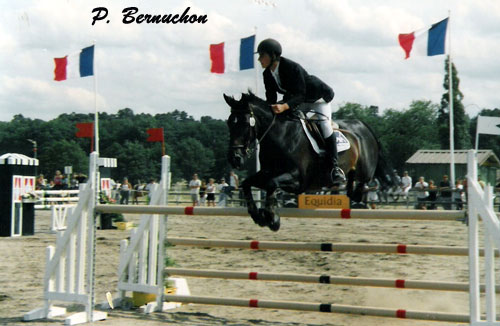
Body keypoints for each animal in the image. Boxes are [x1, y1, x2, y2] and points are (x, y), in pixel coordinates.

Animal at [224, 91, 394, 232]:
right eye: (229, 123)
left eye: (245, 123)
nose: (235, 158)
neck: (280, 135)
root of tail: (363, 126)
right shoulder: (267, 172)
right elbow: (247, 183)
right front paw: (257, 215)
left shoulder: (298, 179)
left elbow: (271, 184)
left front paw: (272, 219)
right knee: (352, 185)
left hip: (365, 169)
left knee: (363, 182)